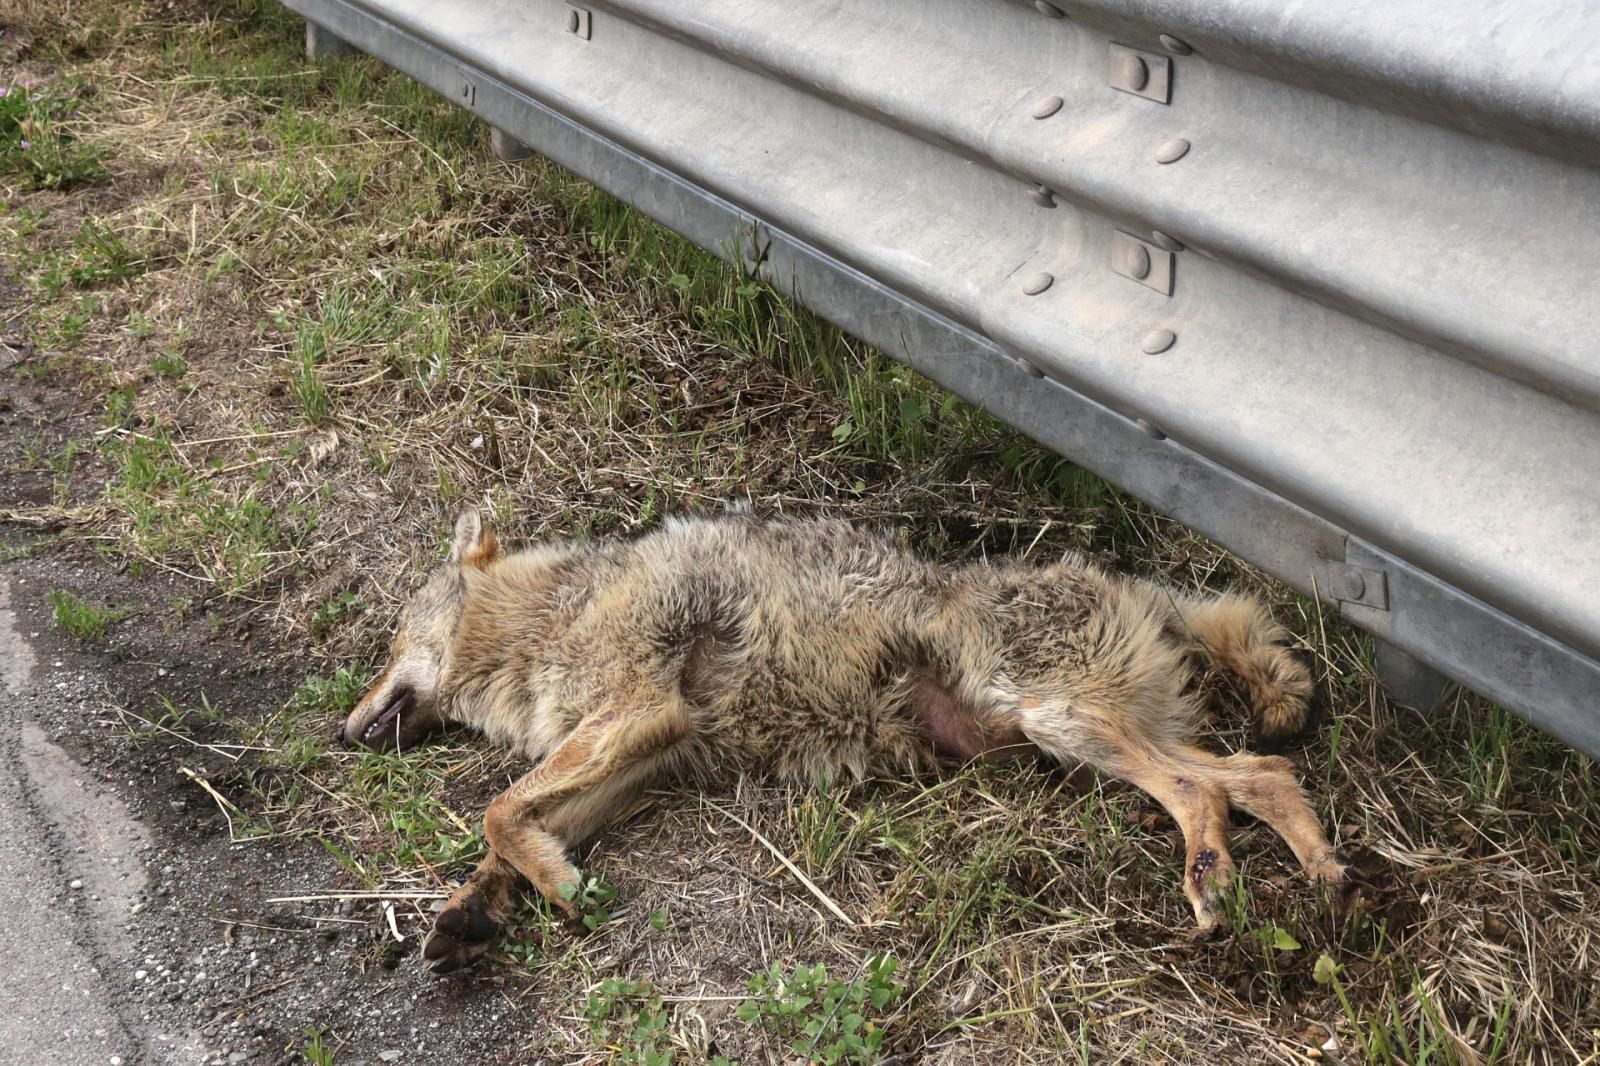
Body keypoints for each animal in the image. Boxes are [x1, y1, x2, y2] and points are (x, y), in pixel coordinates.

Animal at [338, 507, 1346, 973]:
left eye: (385, 640)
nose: (343, 732)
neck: (553, 617)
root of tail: (1134, 584)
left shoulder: (639, 716)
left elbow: (496, 811)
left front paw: (554, 887)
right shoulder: (641, 760)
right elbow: (508, 835)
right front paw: (474, 913)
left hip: (1059, 720)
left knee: (1208, 788)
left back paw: (1216, 889)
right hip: (1095, 728)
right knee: (1263, 770)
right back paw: (1332, 886)